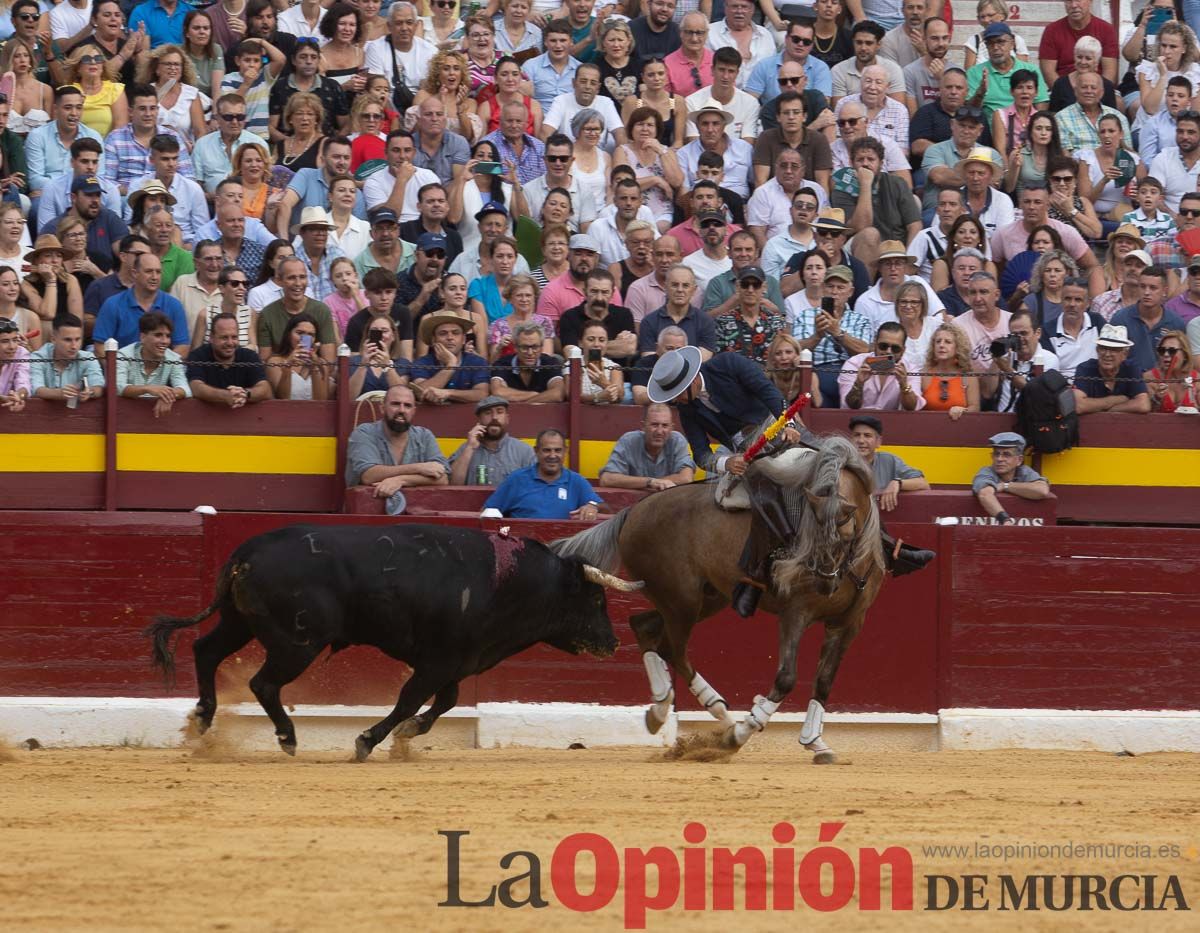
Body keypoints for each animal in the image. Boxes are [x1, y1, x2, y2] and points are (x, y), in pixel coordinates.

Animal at [145, 520, 643, 757]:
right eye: (596, 600)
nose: (613, 644)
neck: (506, 581)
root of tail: (244, 554)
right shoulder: (438, 661)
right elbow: (409, 700)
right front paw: (368, 741)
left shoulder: (455, 663)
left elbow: (444, 703)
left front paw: (408, 735)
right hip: (297, 643)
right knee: (262, 683)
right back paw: (287, 737)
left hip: (240, 624)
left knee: (205, 650)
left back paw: (202, 720)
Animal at [552, 431, 883, 757]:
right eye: (810, 534)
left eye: (846, 536)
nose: (824, 584)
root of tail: (632, 511)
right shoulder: (795, 612)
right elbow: (787, 677)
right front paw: (742, 732)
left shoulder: (849, 622)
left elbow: (825, 681)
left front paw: (816, 742)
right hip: (683, 600)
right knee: (673, 650)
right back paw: (720, 714)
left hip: (703, 599)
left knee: (644, 627)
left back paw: (660, 709)